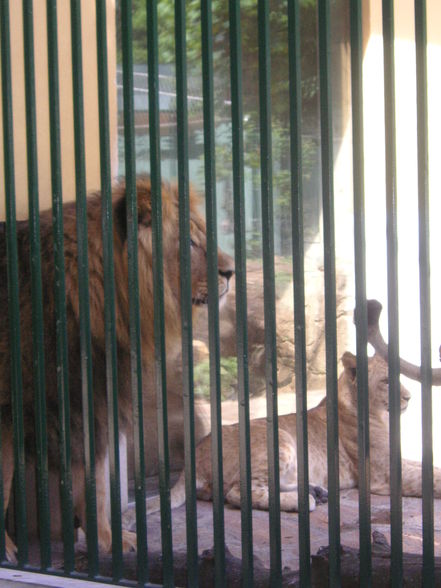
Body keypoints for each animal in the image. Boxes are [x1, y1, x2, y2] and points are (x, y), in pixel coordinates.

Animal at [0, 177, 234, 564]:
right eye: (189, 241)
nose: (231, 272)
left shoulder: (91, 401)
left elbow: (94, 482)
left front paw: (111, 540)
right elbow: (2, 482)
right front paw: (5, 549)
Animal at [142, 352, 440, 516]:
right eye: (386, 381)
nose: (409, 397)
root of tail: (194, 456)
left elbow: (430, 467)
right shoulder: (382, 473)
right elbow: (430, 477)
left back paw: (315, 490)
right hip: (280, 439)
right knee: (239, 492)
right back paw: (304, 501)